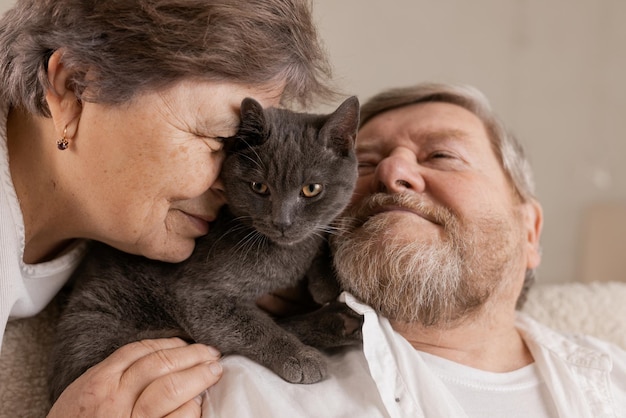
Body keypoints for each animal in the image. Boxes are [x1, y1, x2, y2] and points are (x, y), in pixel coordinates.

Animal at [48, 96, 360, 404]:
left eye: (311, 189)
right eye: (259, 187)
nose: (281, 222)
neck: (284, 255)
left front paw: (325, 281)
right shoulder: (199, 296)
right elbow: (255, 326)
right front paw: (299, 355)